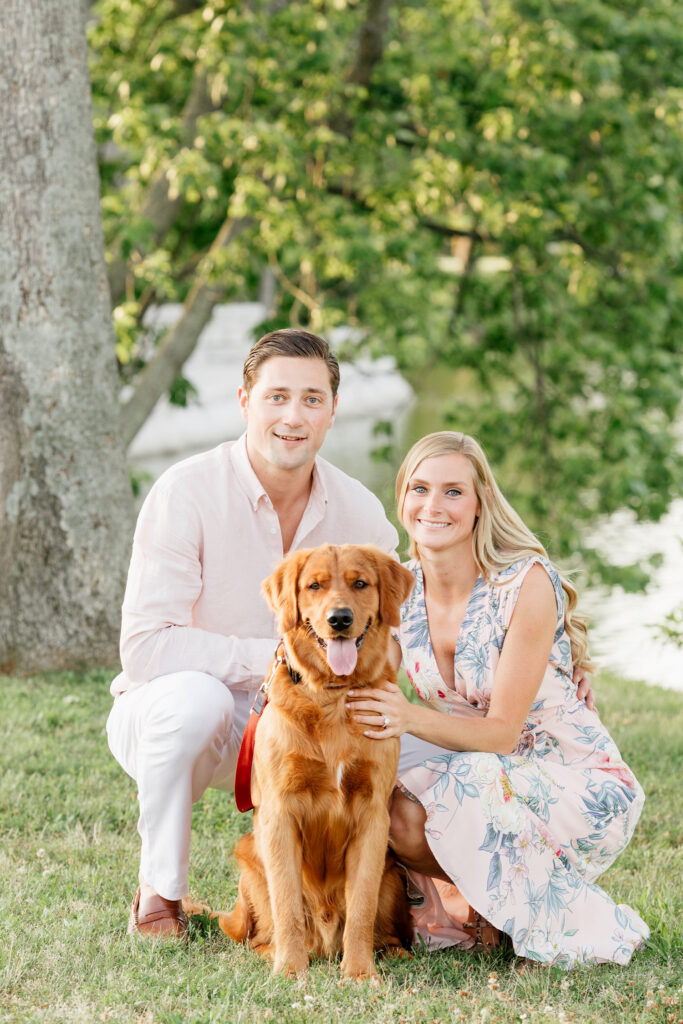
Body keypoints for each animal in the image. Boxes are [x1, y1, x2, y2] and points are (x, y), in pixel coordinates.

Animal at [219, 548, 413, 978]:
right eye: (314, 586)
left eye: (360, 583)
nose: (339, 618)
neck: (333, 697)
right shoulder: (279, 812)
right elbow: (288, 905)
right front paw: (290, 971)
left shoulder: (374, 813)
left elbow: (361, 907)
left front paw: (359, 974)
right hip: (249, 857)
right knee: (261, 933)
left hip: (393, 874)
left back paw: (392, 953)